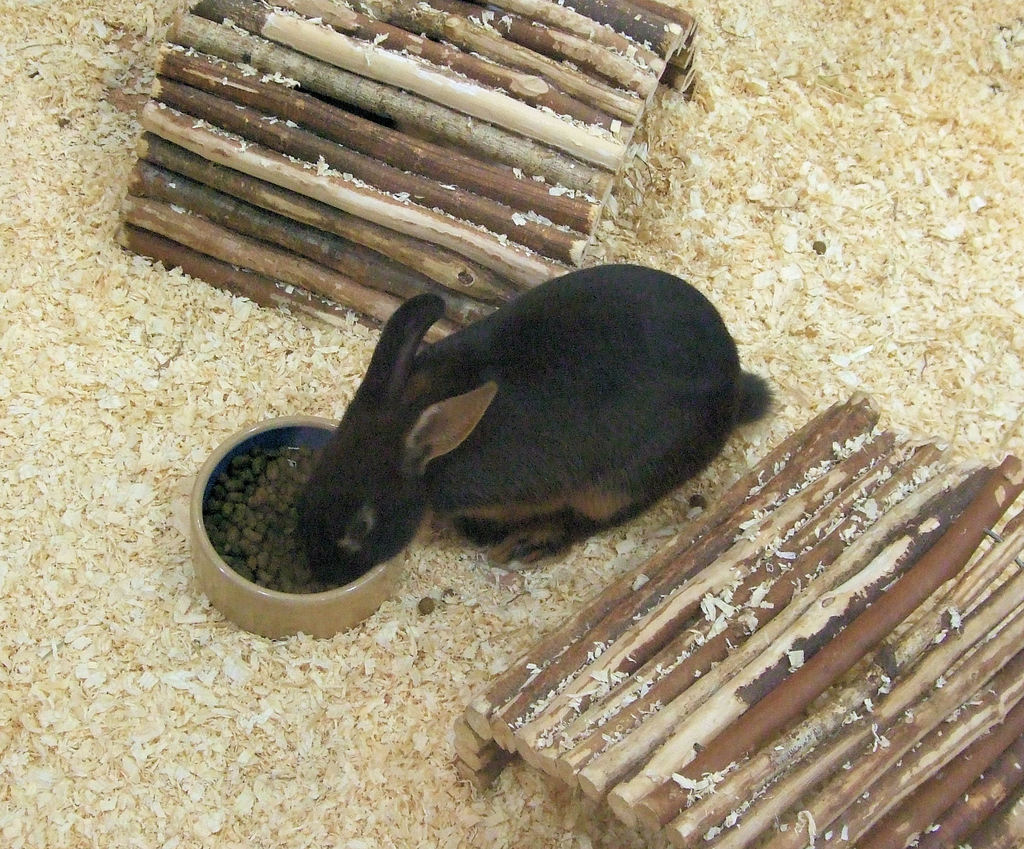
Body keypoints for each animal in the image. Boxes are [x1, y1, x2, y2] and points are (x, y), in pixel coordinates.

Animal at [297, 263, 771, 584]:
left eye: (361, 525)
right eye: (313, 476)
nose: (322, 574)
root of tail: (734, 392)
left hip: (617, 487)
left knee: (593, 520)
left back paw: (532, 542)